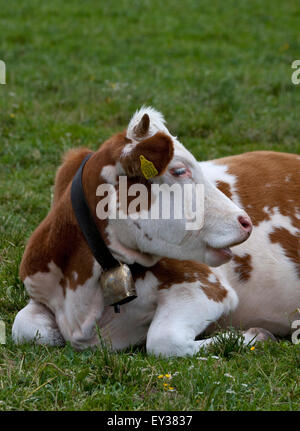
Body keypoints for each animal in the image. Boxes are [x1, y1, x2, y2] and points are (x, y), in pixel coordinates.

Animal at [11, 108, 292, 358]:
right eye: (179, 170)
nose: (245, 221)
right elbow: (22, 326)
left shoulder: (205, 286)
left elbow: (162, 341)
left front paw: (254, 335)